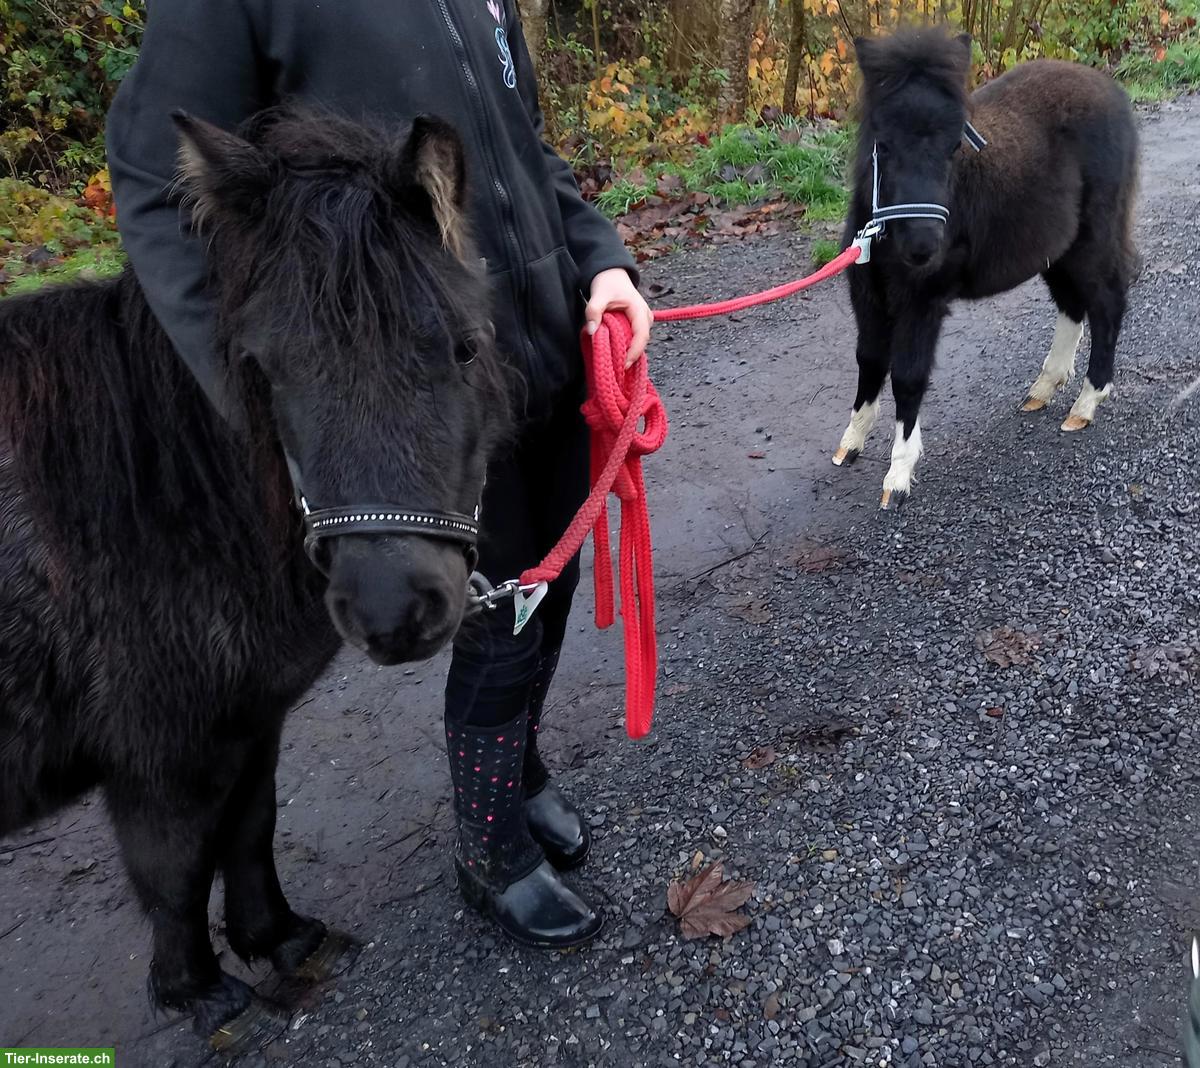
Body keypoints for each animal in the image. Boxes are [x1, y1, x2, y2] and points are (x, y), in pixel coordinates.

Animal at [831, 29, 1139, 508]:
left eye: (954, 145)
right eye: (882, 143)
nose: (923, 247)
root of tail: (1113, 91)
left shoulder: (922, 302)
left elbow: (908, 376)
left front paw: (898, 476)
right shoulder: (868, 295)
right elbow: (870, 360)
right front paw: (851, 443)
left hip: (1094, 238)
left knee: (1107, 303)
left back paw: (1086, 405)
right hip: (1055, 248)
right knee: (1073, 304)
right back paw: (1044, 388)